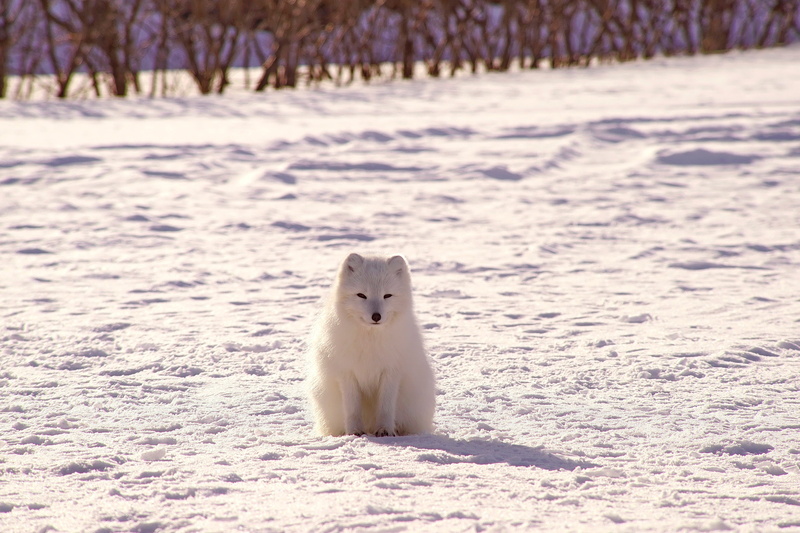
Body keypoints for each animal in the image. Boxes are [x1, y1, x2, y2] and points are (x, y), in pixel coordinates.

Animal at [306, 253, 436, 437]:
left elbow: (386, 407)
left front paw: (385, 430)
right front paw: (354, 432)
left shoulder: (391, 372)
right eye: (361, 295)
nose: (376, 316)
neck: (370, 340)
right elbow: (352, 408)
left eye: (387, 295)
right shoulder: (346, 374)